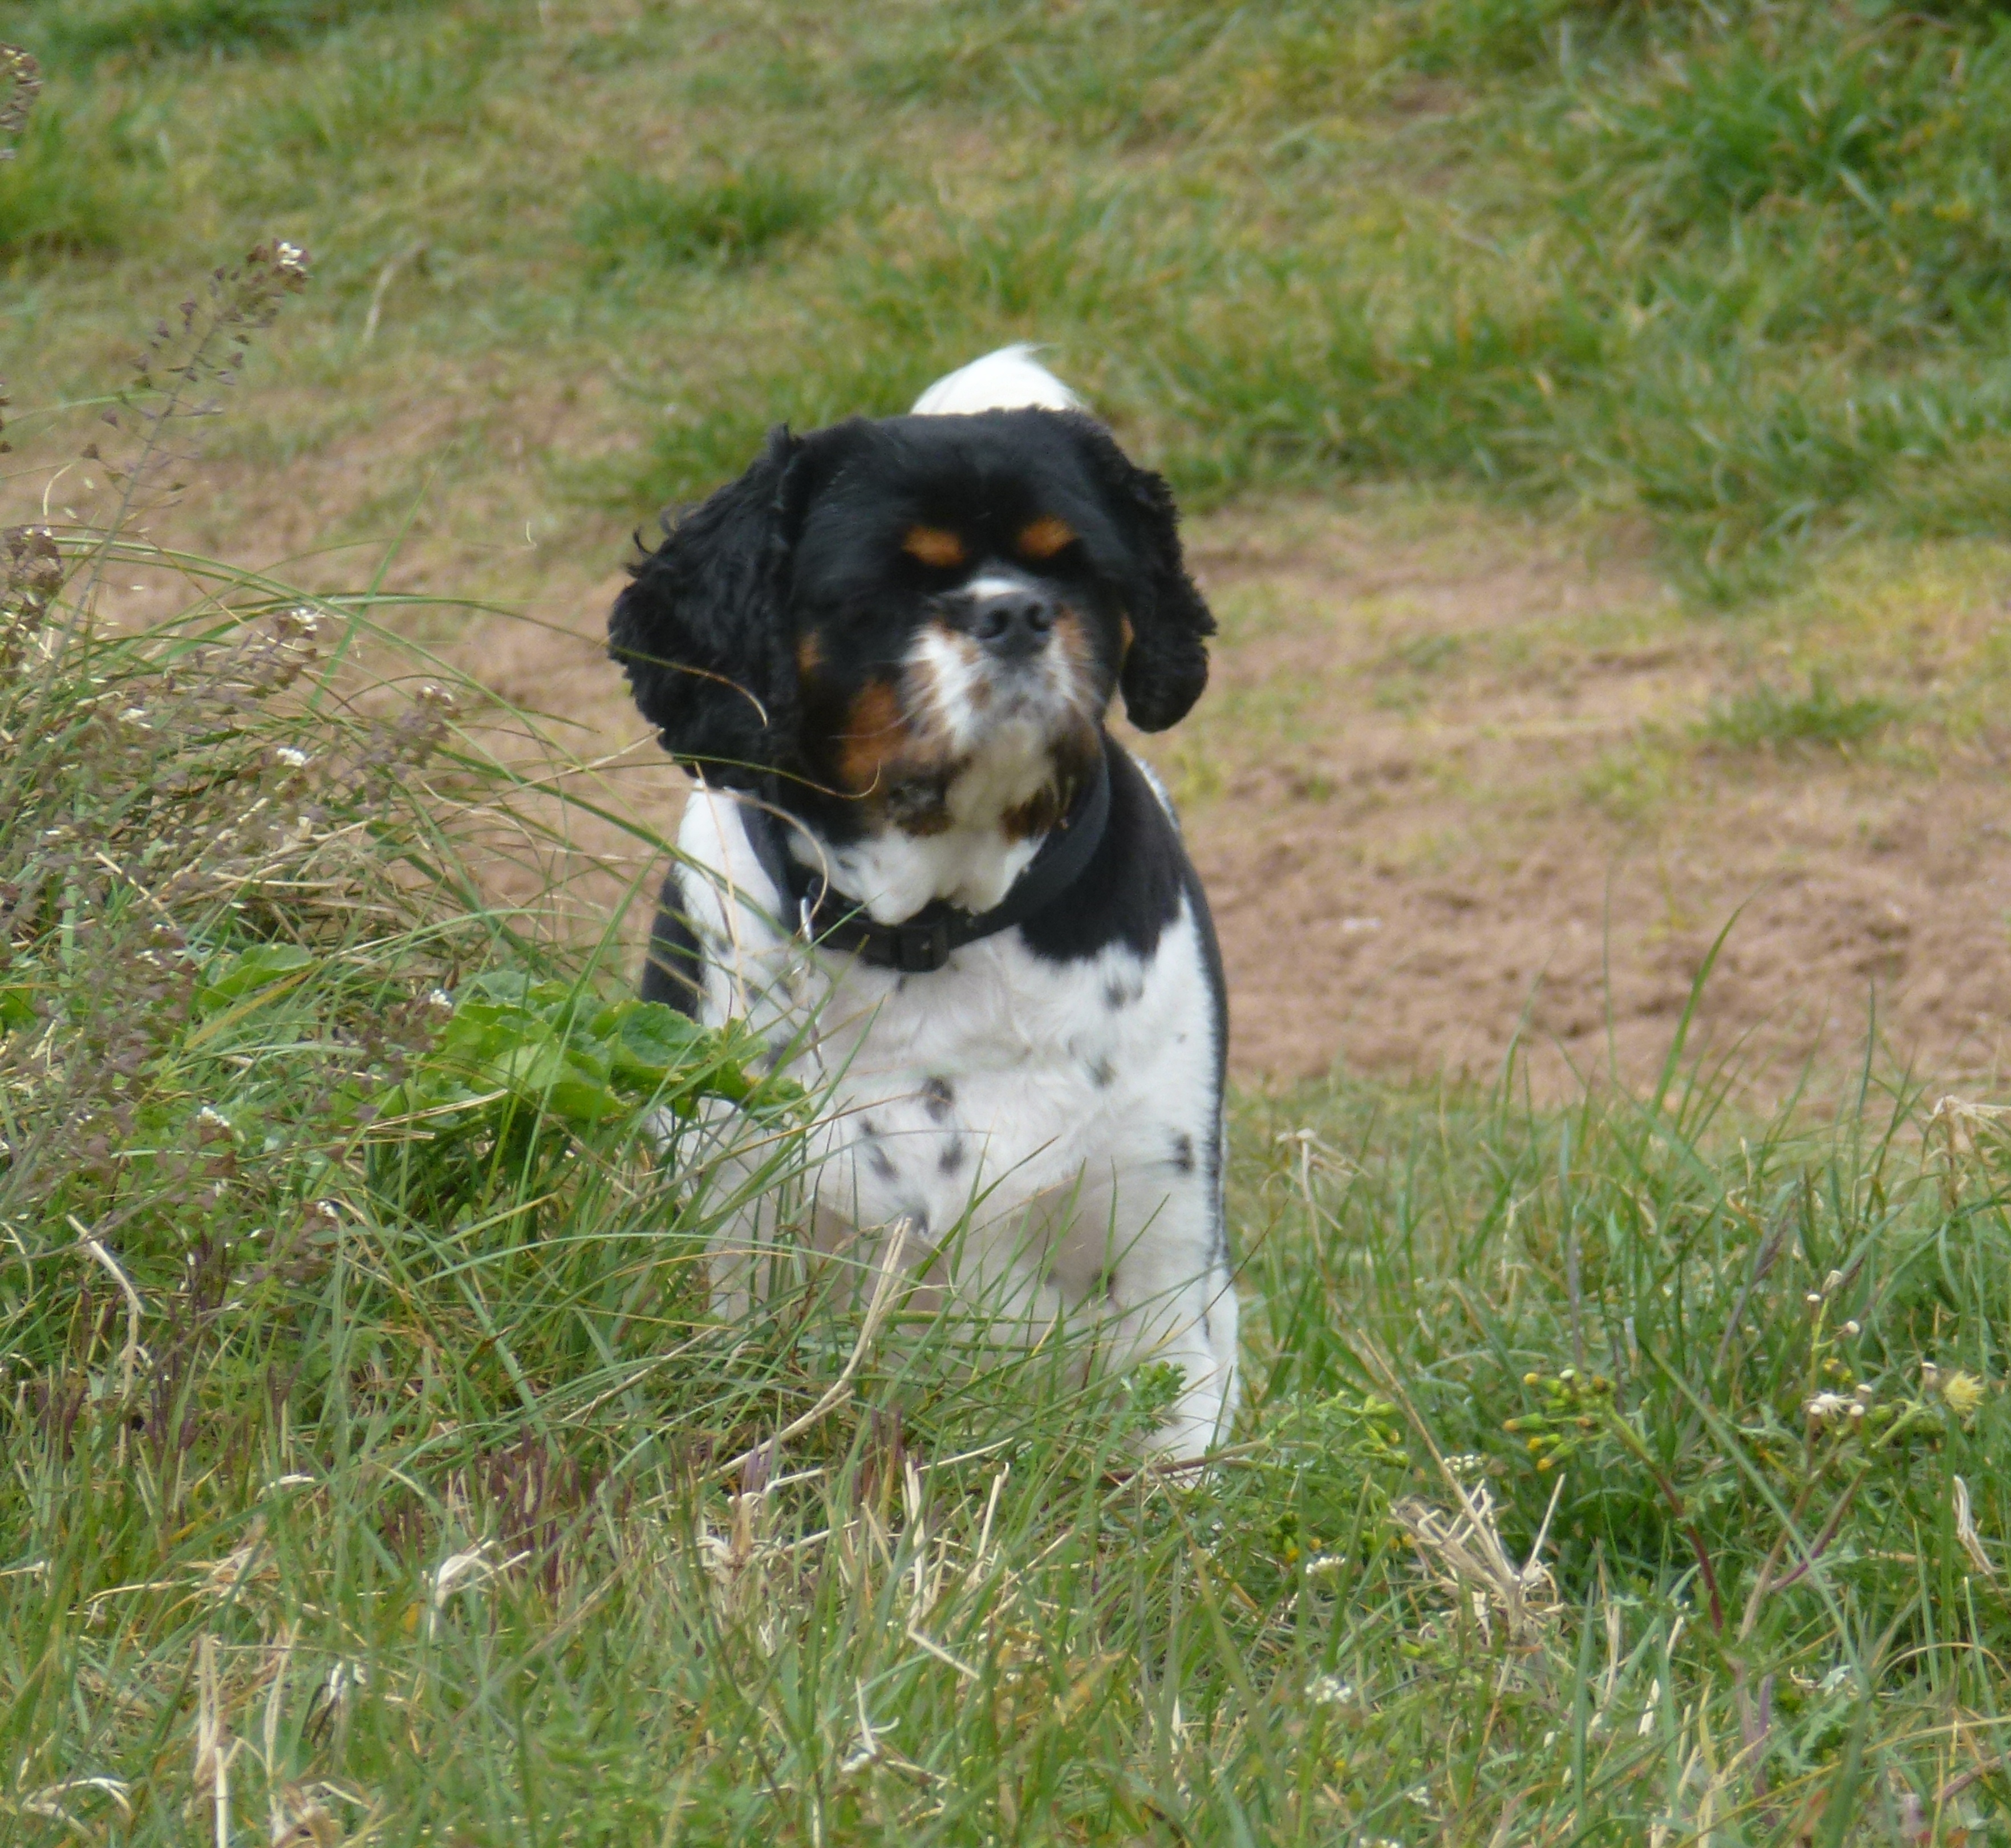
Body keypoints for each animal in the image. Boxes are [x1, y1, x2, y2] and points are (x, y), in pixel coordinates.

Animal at [608, 348, 1237, 1458]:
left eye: (1074, 568)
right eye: (884, 587)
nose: (1015, 613)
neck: (936, 932)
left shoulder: (1165, 1277)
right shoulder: (736, 1230)